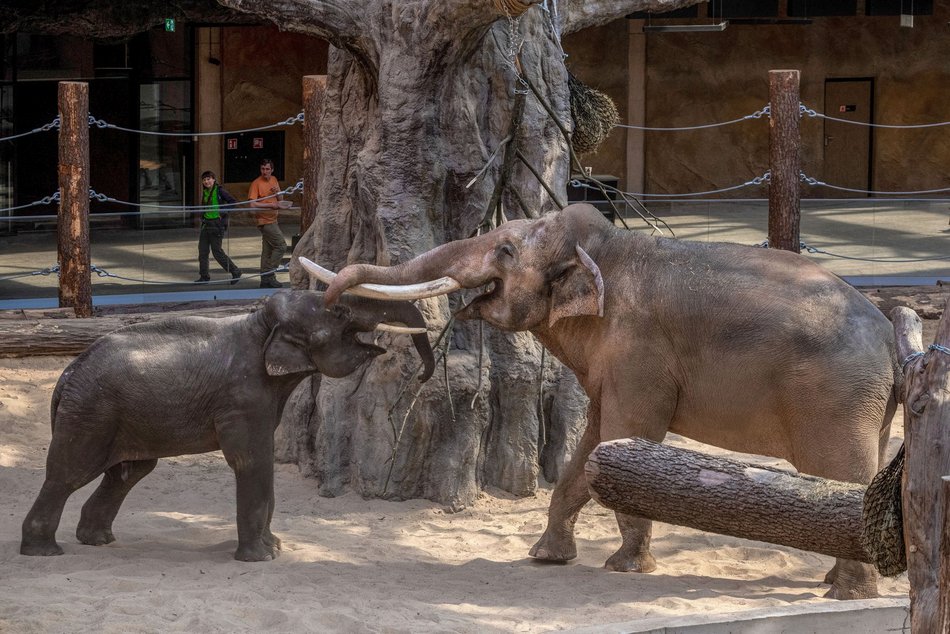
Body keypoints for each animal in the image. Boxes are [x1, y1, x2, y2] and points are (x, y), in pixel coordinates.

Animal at [21, 288, 436, 560]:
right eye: (340, 315)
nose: (421, 376)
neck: (260, 323)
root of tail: (68, 373)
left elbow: (263, 459)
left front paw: (276, 548)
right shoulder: (243, 397)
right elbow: (250, 460)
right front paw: (263, 557)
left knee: (129, 472)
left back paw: (98, 540)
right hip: (91, 415)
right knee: (68, 473)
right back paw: (43, 551)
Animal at [304, 201, 900, 596]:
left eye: (505, 250)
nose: (328, 298)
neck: (604, 250)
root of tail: (894, 340)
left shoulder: (639, 351)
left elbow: (623, 438)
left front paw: (626, 567)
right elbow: (587, 447)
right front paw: (545, 558)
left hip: (838, 400)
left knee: (843, 473)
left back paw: (847, 592)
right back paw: (835, 581)